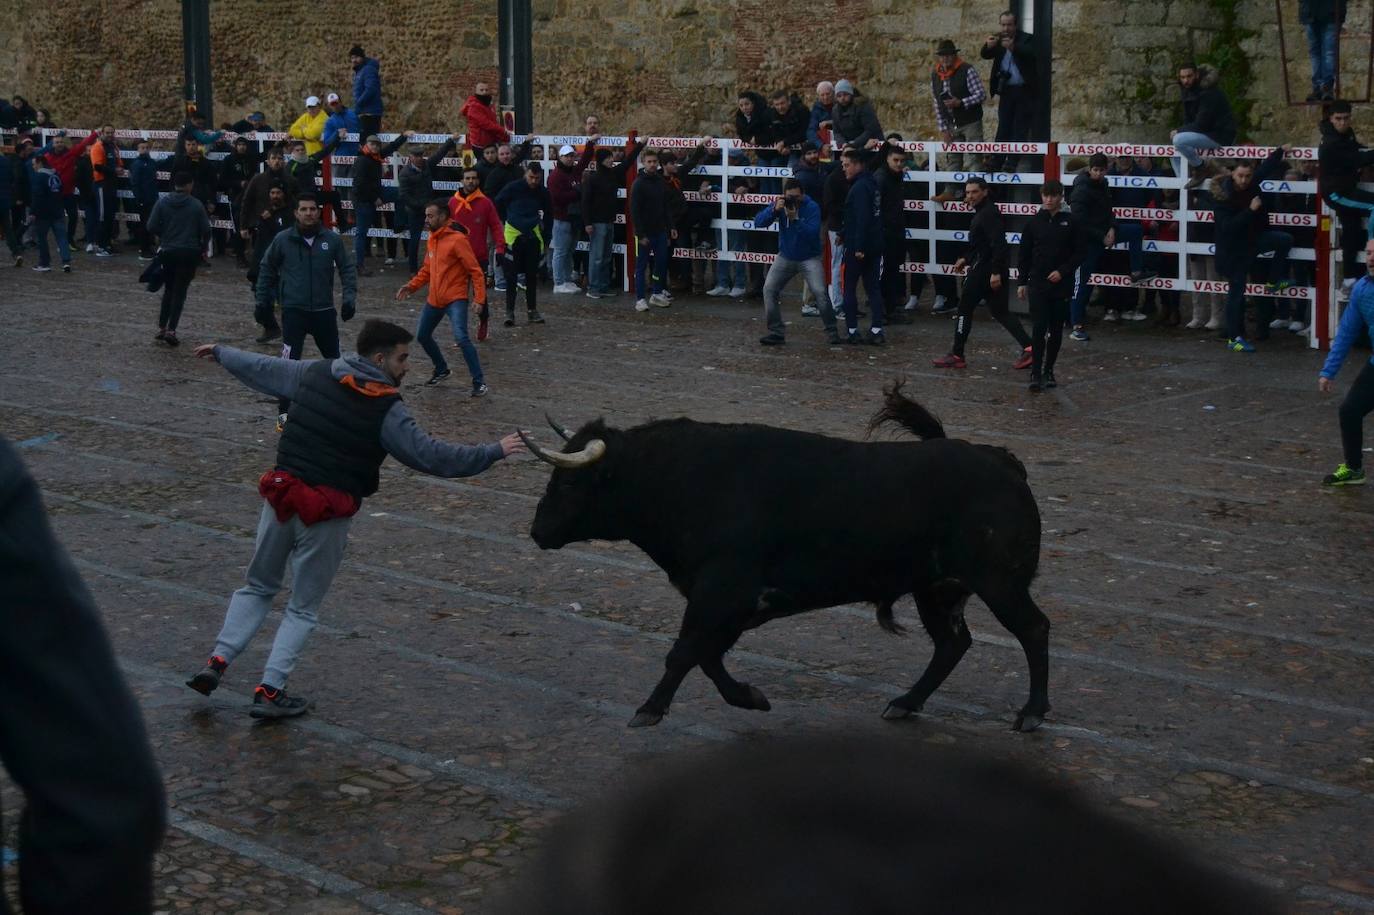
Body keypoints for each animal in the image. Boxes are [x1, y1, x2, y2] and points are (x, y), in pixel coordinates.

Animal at [519, 381, 1044, 730]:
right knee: (952, 644)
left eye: (570, 483)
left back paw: (1032, 714)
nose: (537, 530)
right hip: (937, 589)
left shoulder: (721, 594)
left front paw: (650, 708)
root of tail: (1002, 460)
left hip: (1000, 583)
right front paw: (751, 697)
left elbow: (685, 651)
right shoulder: (727, 605)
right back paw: (905, 703)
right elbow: (706, 655)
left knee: (1033, 629)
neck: (684, 479)